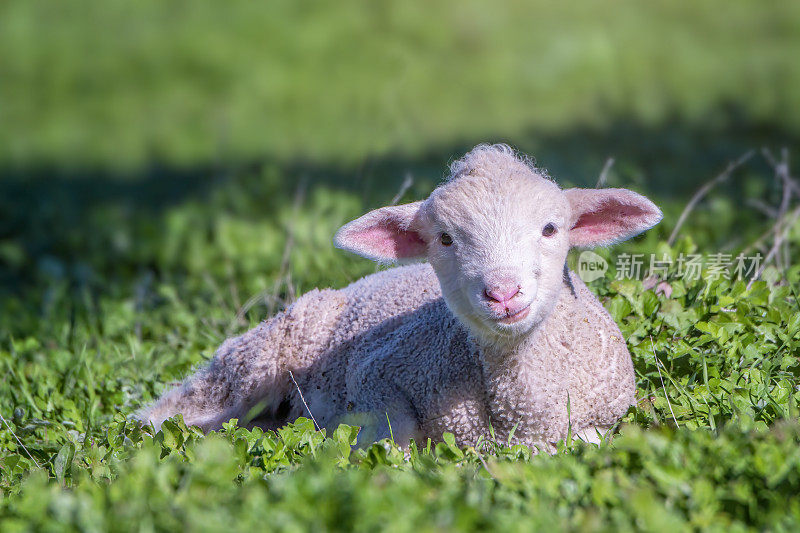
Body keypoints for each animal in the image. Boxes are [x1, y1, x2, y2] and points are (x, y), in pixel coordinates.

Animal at [139, 143, 664, 450]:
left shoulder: (608, 412)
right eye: (445, 239)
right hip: (264, 350)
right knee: (188, 404)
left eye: (551, 229)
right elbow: (394, 432)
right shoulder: (377, 372)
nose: (503, 293)